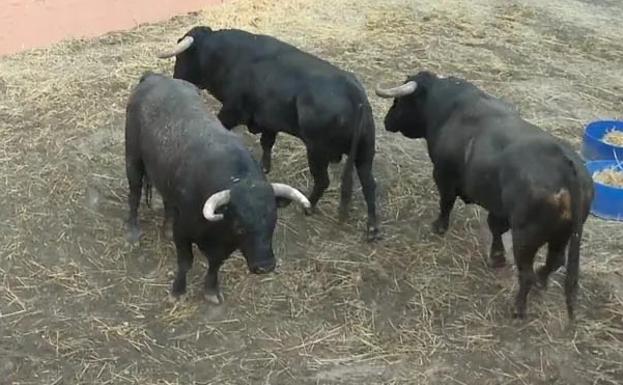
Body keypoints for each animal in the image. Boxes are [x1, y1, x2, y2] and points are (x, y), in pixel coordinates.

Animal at [125, 73, 312, 304]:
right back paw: (133, 232)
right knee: (134, 194)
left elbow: (215, 265)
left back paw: (166, 228)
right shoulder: (183, 232)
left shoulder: (225, 246)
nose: (265, 266)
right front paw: (178, 291)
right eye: (240, 226)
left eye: (273, 221)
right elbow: (185, 262)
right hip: (133, 159)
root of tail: (154, 77)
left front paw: (211, 290)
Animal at [156, 26, 380, 240]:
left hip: (317, 151)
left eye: (183, 56)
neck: (228, 56)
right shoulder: (269, 122)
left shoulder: (232, 111)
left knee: (323, 180)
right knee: (369, 185)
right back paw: (372, 228)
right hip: (364, 153)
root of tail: (355, 94)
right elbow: (267, 143)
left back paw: (308, 206)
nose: (176, 80)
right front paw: (265, 167)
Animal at [376, 70, 596, 320]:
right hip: (562, 235)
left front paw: (439, 226)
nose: (387, 121)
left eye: (399, 101)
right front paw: (497, 256)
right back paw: (541, 282)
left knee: (527, 273)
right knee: (554, 260)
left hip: (525, 236)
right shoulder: (497, 206)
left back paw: (518, 308)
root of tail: (565, 164)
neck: (448, 107)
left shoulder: (443, 175)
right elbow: (495, 227)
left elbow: (446, 203)